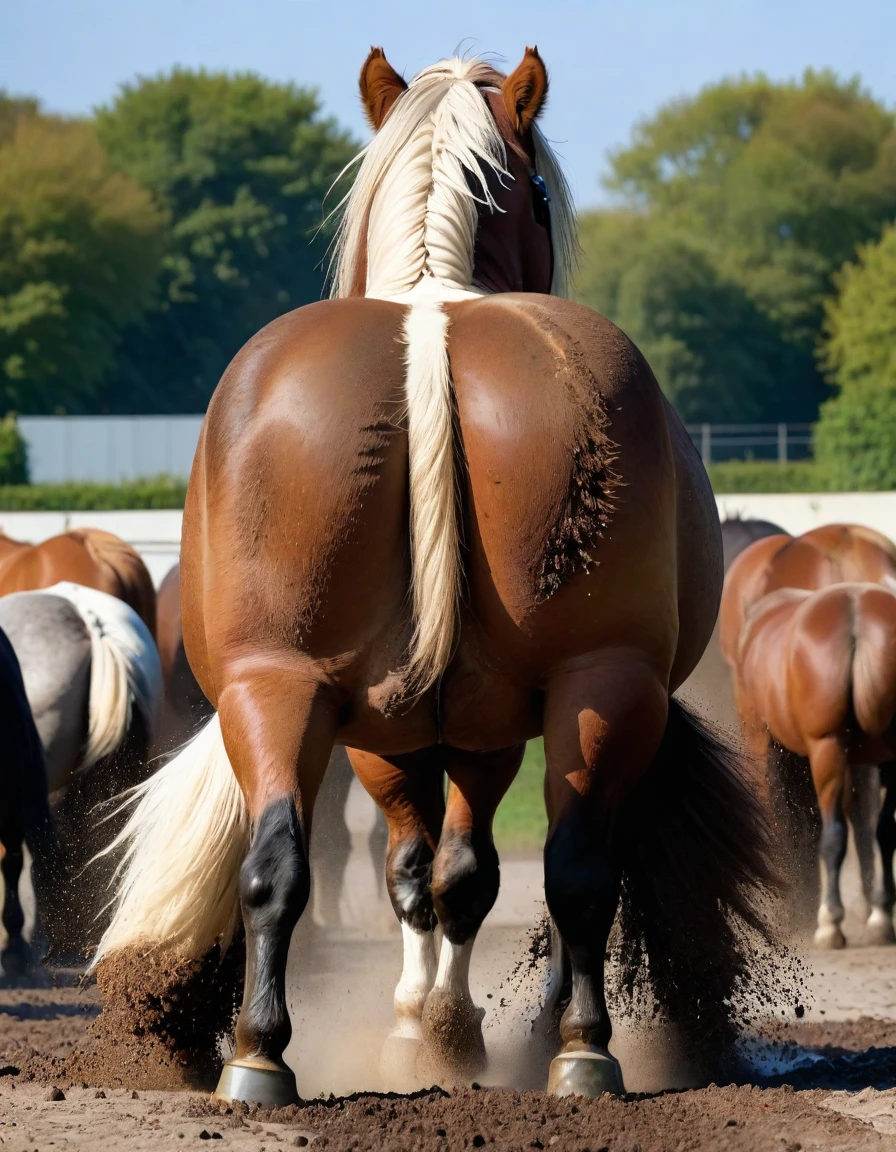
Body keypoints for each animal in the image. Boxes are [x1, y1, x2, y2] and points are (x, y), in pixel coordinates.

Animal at [94, 51, 769, 1105]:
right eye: (542, 193)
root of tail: (431, 337)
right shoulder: (465, 730)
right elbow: (449, 872)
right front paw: (437, 1027)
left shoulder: (409, 726)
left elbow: (431, 872)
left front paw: (432, 1027)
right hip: (591, 684)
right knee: (572, 866)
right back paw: (574, 1046)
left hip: (282, 683)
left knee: (281, 859)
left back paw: (260, 1054)